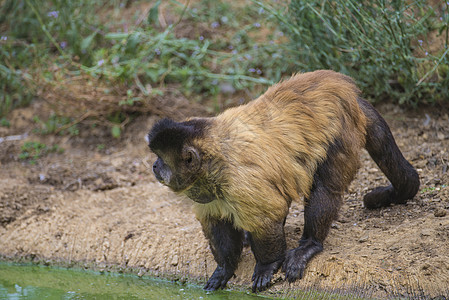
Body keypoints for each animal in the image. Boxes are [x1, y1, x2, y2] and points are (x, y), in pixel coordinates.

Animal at [147, 71, 420, 292]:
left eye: (161, 159)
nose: (154, 166)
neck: (213, 158)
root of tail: (345, 87)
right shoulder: (205, 189)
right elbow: (217, 222)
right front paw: (225, 268)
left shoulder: (238, 182)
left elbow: (269, 216)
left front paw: (267, 265)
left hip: (342, 129)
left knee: (324, 187)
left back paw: (310, 244)